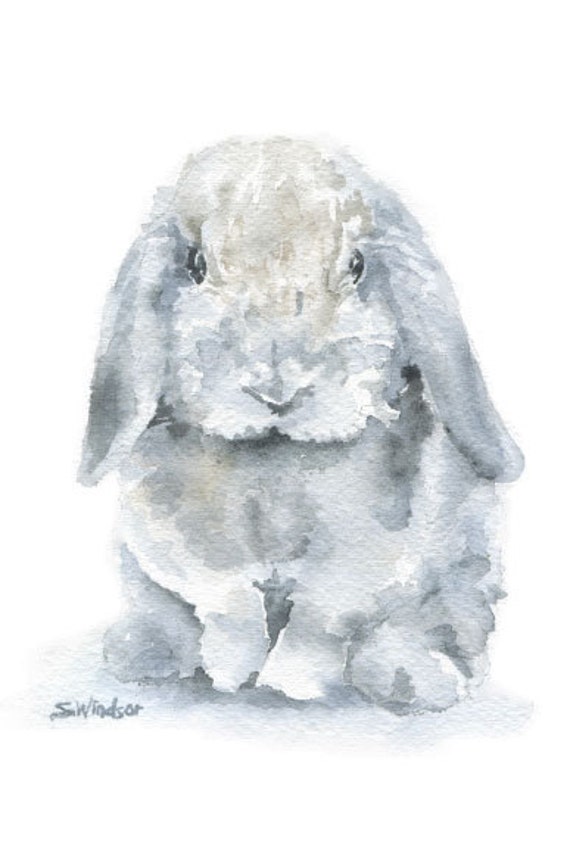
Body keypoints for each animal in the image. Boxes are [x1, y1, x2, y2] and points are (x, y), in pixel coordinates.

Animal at [79, 137, 523, 713]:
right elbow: (226, 602)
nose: (275, 386)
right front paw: (231, 671)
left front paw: (288, 683)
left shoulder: (373, 560)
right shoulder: (169, 536)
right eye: (196, 265)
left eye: (356, 265)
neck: (275, 460)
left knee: (441, 619)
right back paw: (144, 653)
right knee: (158, 609)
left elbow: (319, 618)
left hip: (469, 561)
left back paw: (415, 680)